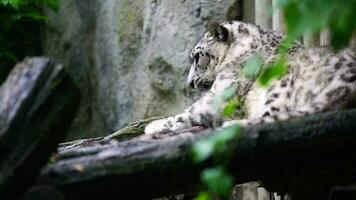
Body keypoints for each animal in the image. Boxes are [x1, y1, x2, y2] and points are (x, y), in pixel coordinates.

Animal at [144, 20, 356, 134]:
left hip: (280, 83)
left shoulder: (219, 96)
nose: (190, 83)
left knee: (273, 116)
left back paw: (230, 125)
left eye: (197, 57)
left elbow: (188, 111)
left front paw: (154, 125)